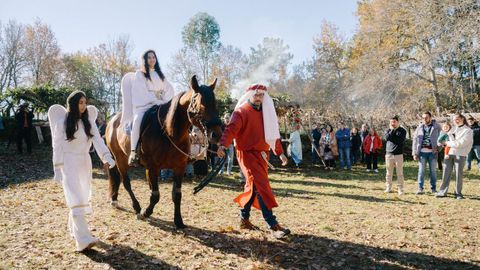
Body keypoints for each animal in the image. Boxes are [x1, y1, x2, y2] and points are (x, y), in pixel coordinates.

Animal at [105, 75, 221, 229]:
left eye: (215, 104)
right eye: (201, 104)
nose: (217, 134)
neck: (169, 132)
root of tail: (113, 120)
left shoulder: (179, 167)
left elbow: (177, 195)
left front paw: (178, 221)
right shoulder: (153, 167)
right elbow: (155, 195)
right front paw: (144, 213)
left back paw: (116, 199)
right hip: (120, 159)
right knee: (126, 183)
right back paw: (136, 207)